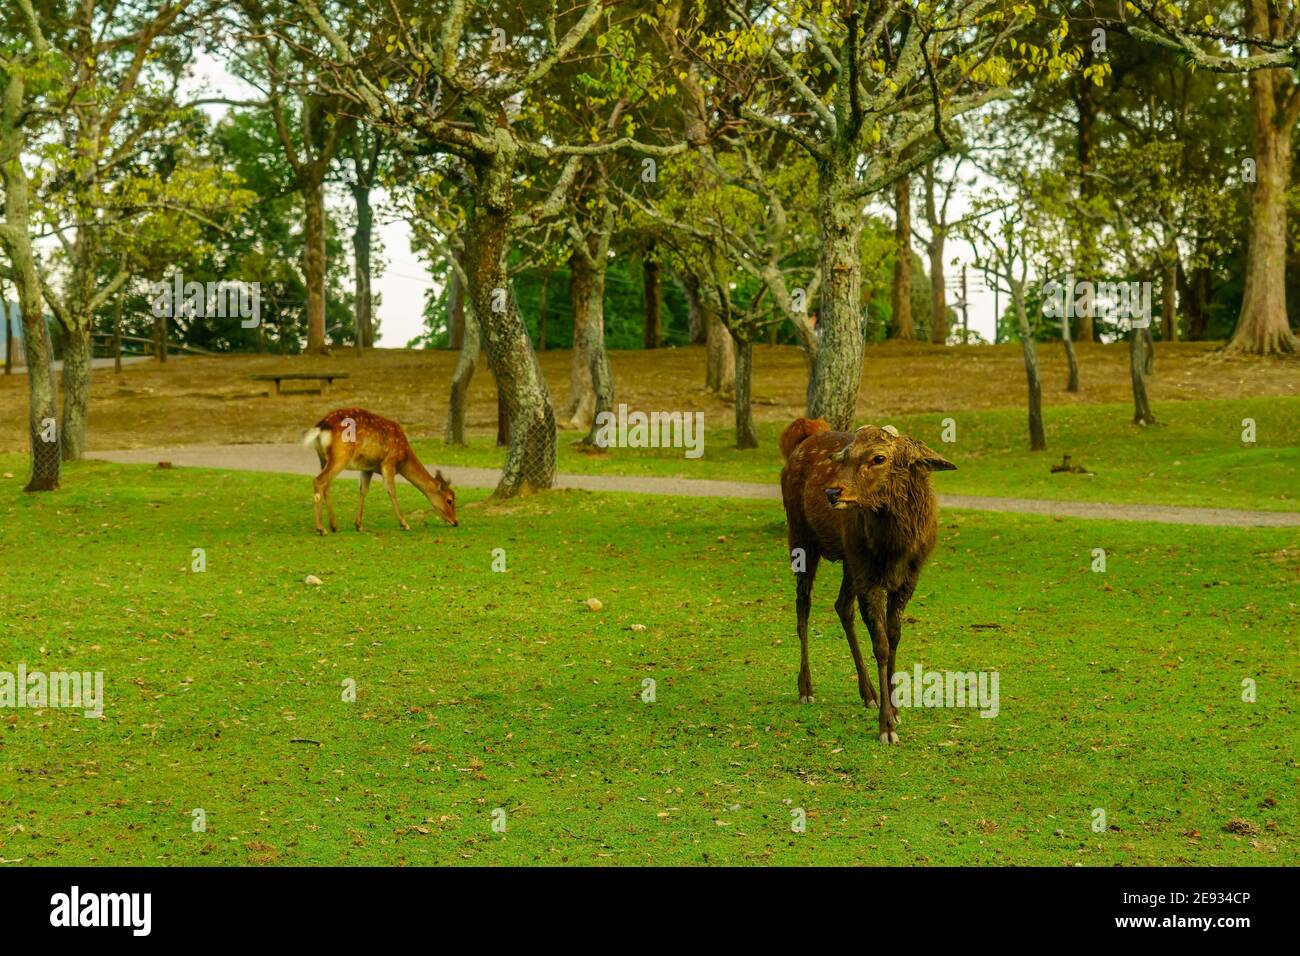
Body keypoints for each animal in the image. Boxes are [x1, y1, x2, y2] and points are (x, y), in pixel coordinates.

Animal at [301, 408, 460, 535]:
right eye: (449, 500)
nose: (456, 521)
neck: (404, 457)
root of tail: (321, 427)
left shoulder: (368, 467)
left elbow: (363, 491)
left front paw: (358, 525)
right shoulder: (389, 462)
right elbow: (392, 491)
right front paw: (405, 524)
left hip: (322, 458)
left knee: (326, 485)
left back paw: (334, 526)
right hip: (340, 456)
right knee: (319, 481)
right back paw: (321, 528)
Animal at [780, 421, 956, 749]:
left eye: (879, 458)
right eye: (846, 457)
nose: (832, 491)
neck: (896, 547)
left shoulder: (908, 579)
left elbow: (895, 636)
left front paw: (895, 709)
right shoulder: (869, 577)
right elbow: (881, 645)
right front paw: (886, 726)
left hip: (849, 560)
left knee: (841, 605)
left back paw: (869, 693)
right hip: (800, 536)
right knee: (803, 605)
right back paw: (805, 686)